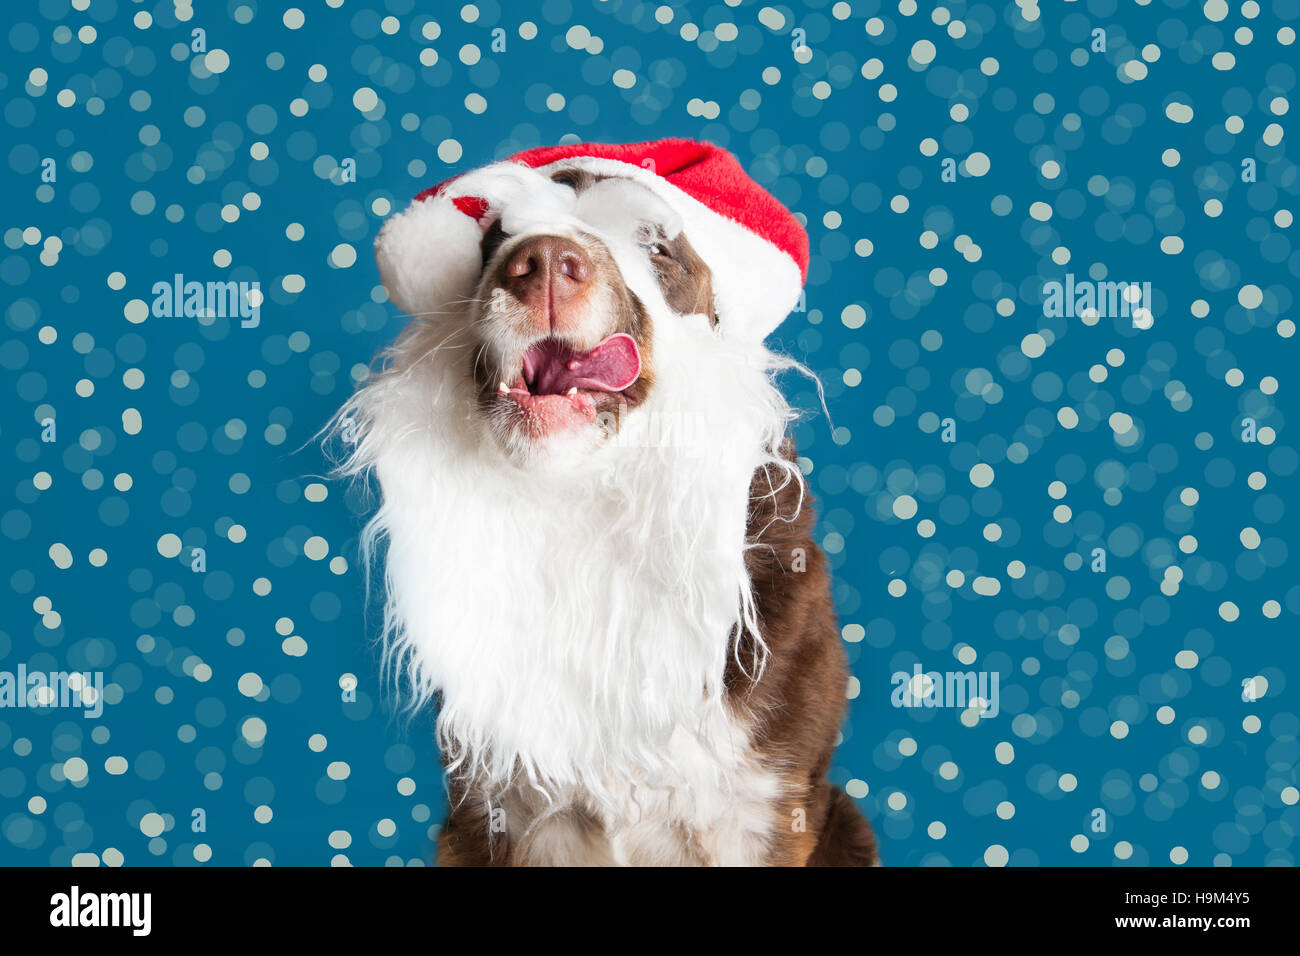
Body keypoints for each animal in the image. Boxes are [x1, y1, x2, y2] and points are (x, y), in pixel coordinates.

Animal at [338, 141, 883, 868]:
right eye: (498, 237)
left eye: (657, 248)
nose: (542, 262)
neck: (591, 504)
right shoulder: (490, 806)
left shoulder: (763, 809)